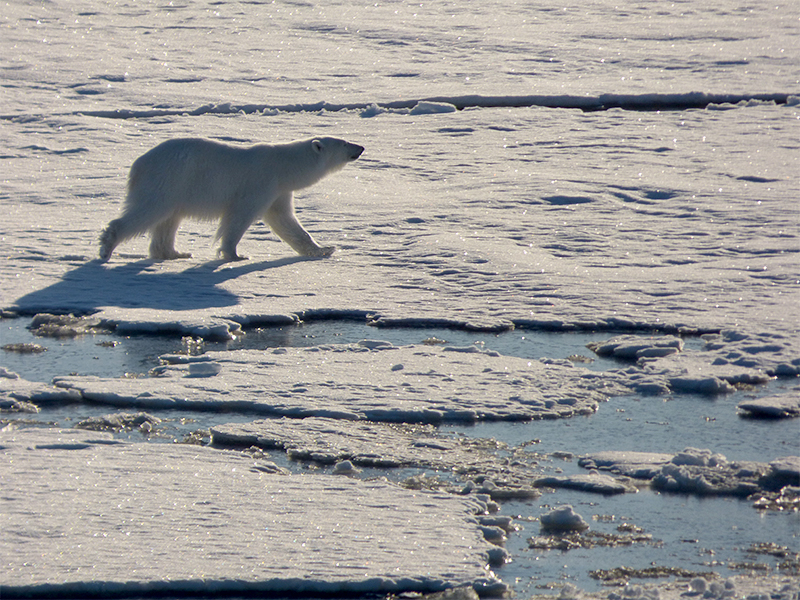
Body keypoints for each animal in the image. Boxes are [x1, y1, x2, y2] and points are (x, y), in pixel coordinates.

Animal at [98, 137, 364, 262]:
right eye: (343, 143)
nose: (361, 147)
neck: (284, 166)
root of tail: (138, 164)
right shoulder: (259, 183)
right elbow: (239, 218)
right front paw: (235, 255)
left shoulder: (278, 191)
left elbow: (286, 222)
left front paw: (323, 249)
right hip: (168, 180)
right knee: (149, 211)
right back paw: (107, 246)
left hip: (176, 189)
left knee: (169, 220)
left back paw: (175, 253)